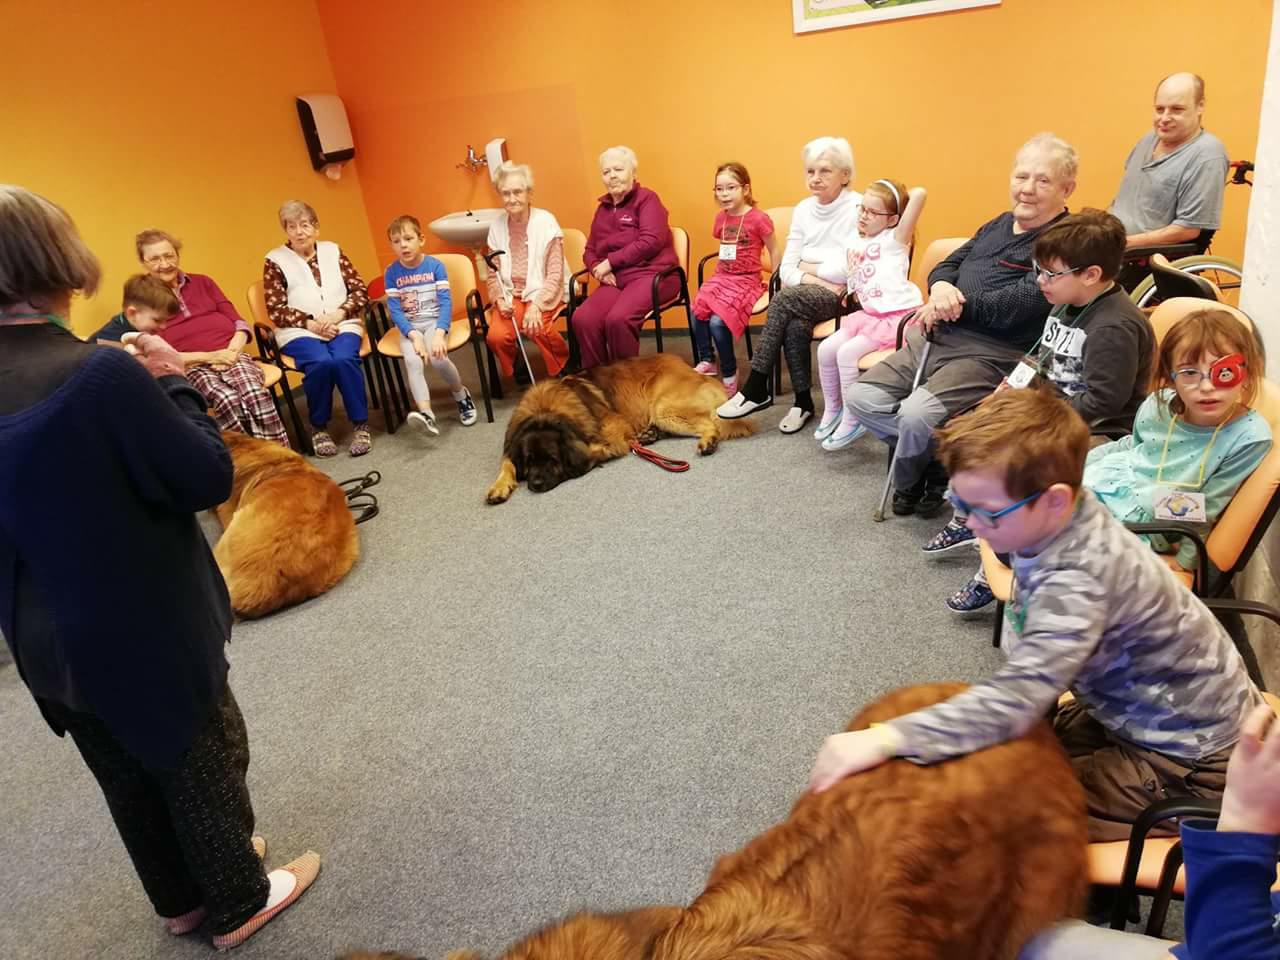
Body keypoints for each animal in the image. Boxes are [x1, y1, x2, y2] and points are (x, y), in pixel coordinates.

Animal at [485, 354, 757, 504]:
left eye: (552, 459)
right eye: (530, 460)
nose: (536, 484)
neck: (546, 412)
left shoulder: (613, 429)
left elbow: (596, 450)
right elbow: (507, 463)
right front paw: (498, 486)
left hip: (663, 407)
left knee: (711, 424)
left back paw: (707, 441)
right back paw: (649, 435)